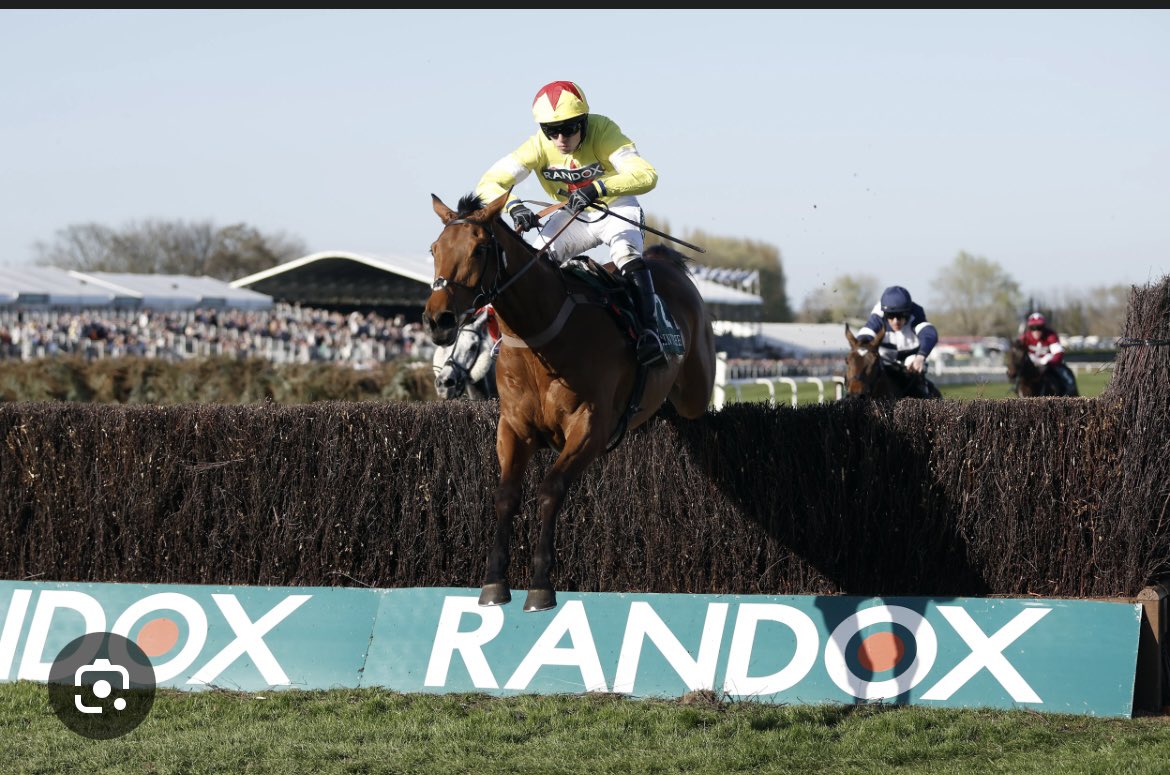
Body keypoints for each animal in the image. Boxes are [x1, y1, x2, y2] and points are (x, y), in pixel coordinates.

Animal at [423, 191, 716, 612]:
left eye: (479, 249)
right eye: (435, 249)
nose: (439, 319)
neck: (539, 336)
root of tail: (665, 263)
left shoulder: (590, 426)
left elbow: (551, 488)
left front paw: (541, 585)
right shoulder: (513, 426)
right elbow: (506, 495)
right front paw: (494, 581)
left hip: (695, 388)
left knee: (632, 259)